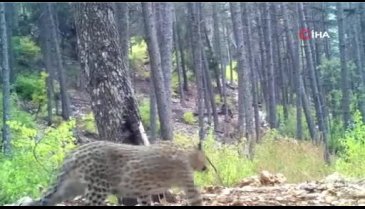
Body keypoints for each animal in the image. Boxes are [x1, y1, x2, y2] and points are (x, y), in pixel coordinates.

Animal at [28, 140, 208, 206]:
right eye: (205, 158)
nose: (206, 167)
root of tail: (75, 151)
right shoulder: (189, 185)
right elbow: (197, 199)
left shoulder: (142, 191)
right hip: (98, 190)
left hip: (70, 189)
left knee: (46, 200)